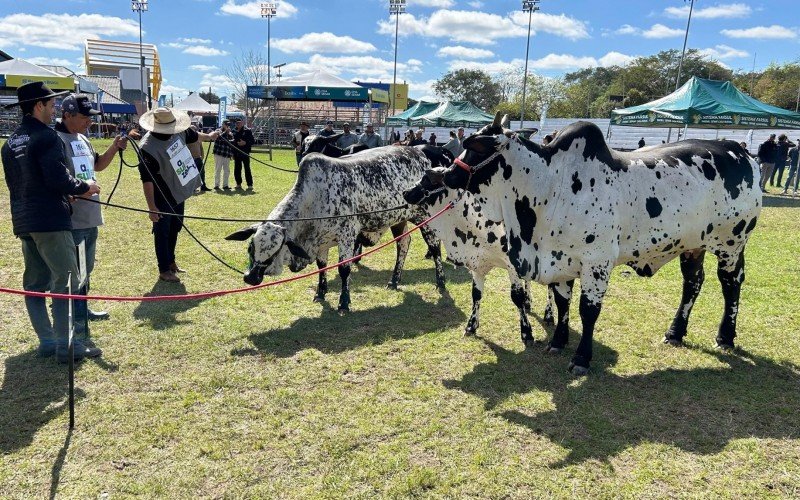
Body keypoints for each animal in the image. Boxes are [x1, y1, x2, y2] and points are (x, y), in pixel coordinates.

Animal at [225, 144, 450, 308]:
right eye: (251, 247)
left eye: (275, 251)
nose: (250, 277)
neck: (313, 199)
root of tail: (424, 151)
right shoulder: (321, 241)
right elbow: (322, 267)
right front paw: (320, 293)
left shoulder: (347, 236)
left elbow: (344, 269)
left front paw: (344, 302)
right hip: (399, 219)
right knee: (403, 244)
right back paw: (394, 280)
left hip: (425, 218)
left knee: (434, 247)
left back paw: (440, 282)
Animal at [404, 166, 560, 346]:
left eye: (426, 179)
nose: (405, 192)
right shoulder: (475, 262)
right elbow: (476, 294)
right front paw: (471, 325)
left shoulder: (511, 265)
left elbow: (517, 297)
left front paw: (526, 332)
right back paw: (529, 303)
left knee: (551, 285)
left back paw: (549, 314)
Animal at [440, 115, 760, 376]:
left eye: (477, 147)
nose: (445, 174)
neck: (549, 186)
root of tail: (740, 150)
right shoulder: (561, 261)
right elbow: (562, 303)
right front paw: (557, 342)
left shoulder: (597, 263)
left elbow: (588, 310)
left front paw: (581, 358)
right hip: (693, 246)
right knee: (692, 283)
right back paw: (675, 332)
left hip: (732, 244)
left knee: (731, 284)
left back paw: (725, 337)